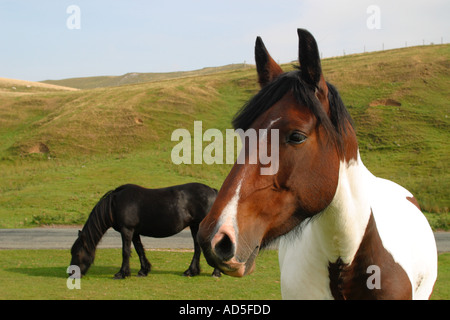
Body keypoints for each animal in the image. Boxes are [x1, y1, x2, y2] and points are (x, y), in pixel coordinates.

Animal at [69, 184, 221, 278]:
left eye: (77, 253)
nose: (72, 273)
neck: (115, 203)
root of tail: (213, 192)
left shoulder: (127, 230)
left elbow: (125, 251)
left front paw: (122, 273)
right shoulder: (134, 232)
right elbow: (139, 250)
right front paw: (143, 271)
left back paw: (215, 272)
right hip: (195, 226)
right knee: (197, 247)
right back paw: (191, 271)